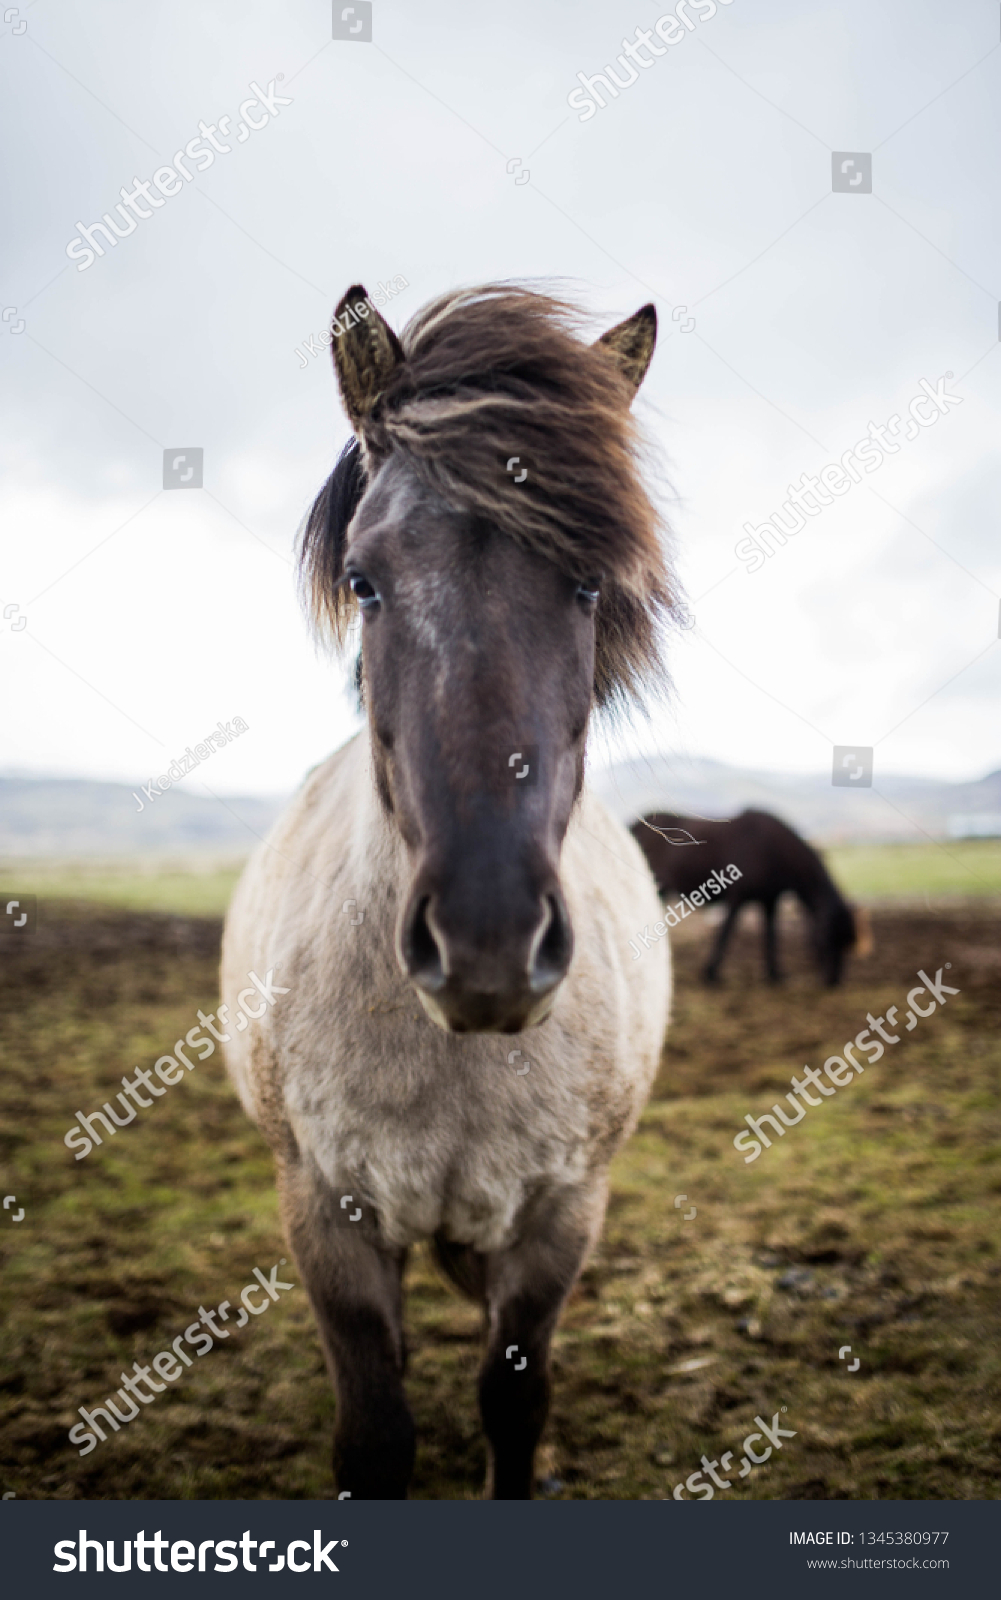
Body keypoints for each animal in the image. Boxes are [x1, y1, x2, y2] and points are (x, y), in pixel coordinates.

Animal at [221, 283, 675, 1499]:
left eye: (588, 583)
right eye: (365, 580)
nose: (486, 946)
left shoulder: (559, 1215)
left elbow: (513, 1402)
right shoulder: (326, 1219)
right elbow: (374, 1435)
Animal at [630, 809, 871, 986]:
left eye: (847, 940)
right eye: (827, 937)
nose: (834, 980)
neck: (771, 848)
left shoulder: (770, 902)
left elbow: (770, 937)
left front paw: (774, 974)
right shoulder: (736, 899)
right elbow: (725, 935)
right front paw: (710, 973)